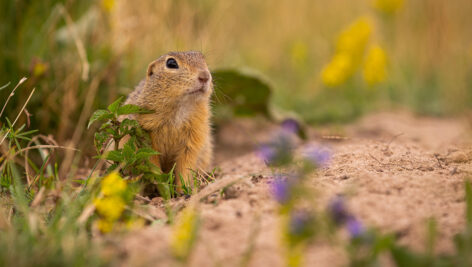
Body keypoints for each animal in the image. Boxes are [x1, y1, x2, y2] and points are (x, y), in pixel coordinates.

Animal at [123, 51, 212, 191]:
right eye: (171, 63)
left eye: (204, 60)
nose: (205, 76)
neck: (181, 108)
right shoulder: (145, 136)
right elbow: (151, 160)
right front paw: (161, 184)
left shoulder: (194, 137)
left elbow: (186, 165)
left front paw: (185, 189)